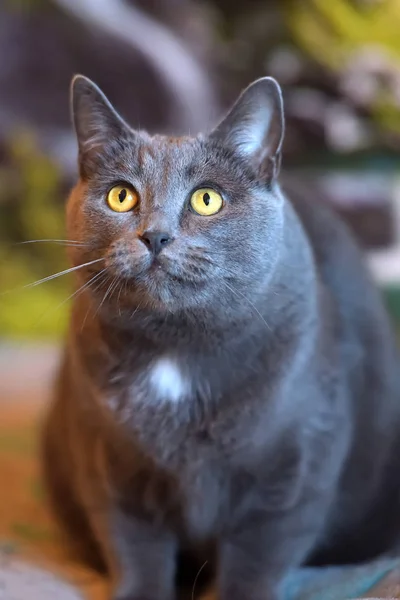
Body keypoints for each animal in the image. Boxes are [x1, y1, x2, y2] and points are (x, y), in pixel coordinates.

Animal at [41, 72, 400, 596]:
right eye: (121, 196)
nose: (155, 235)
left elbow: (256, 561)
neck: (176, 353)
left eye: (206, 199)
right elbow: (133, 546)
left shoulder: (290, 480)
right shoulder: (109, 464)